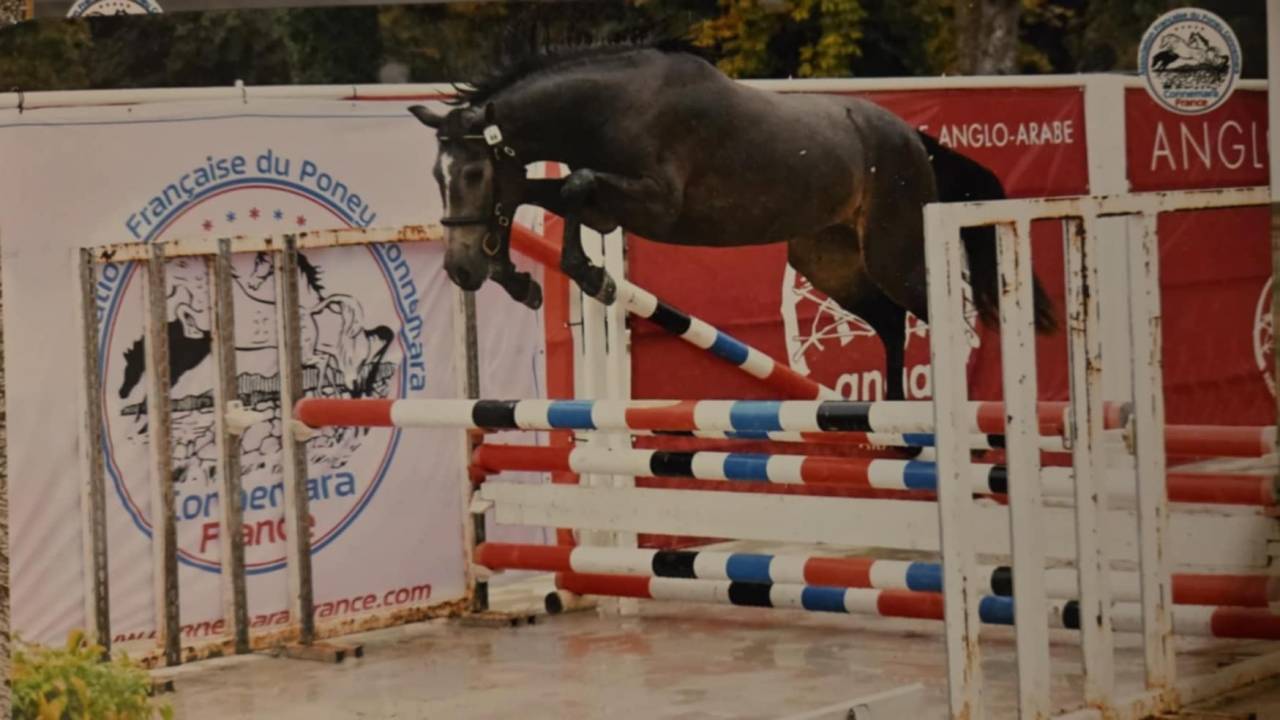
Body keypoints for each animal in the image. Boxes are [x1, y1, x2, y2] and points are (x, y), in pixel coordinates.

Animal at [408, 41, 1057, 400]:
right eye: (438, 176)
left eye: (473, 173)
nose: (459, 270)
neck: (612, 108)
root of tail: (914, 138)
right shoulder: (610, 199)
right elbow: (546, 190)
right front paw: (517, 278)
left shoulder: (657, 204)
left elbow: (571, 186)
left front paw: (588, 276)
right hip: (830, 260)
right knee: (891, 322)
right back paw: (898, 413)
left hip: (893, 254)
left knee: (943, 317)